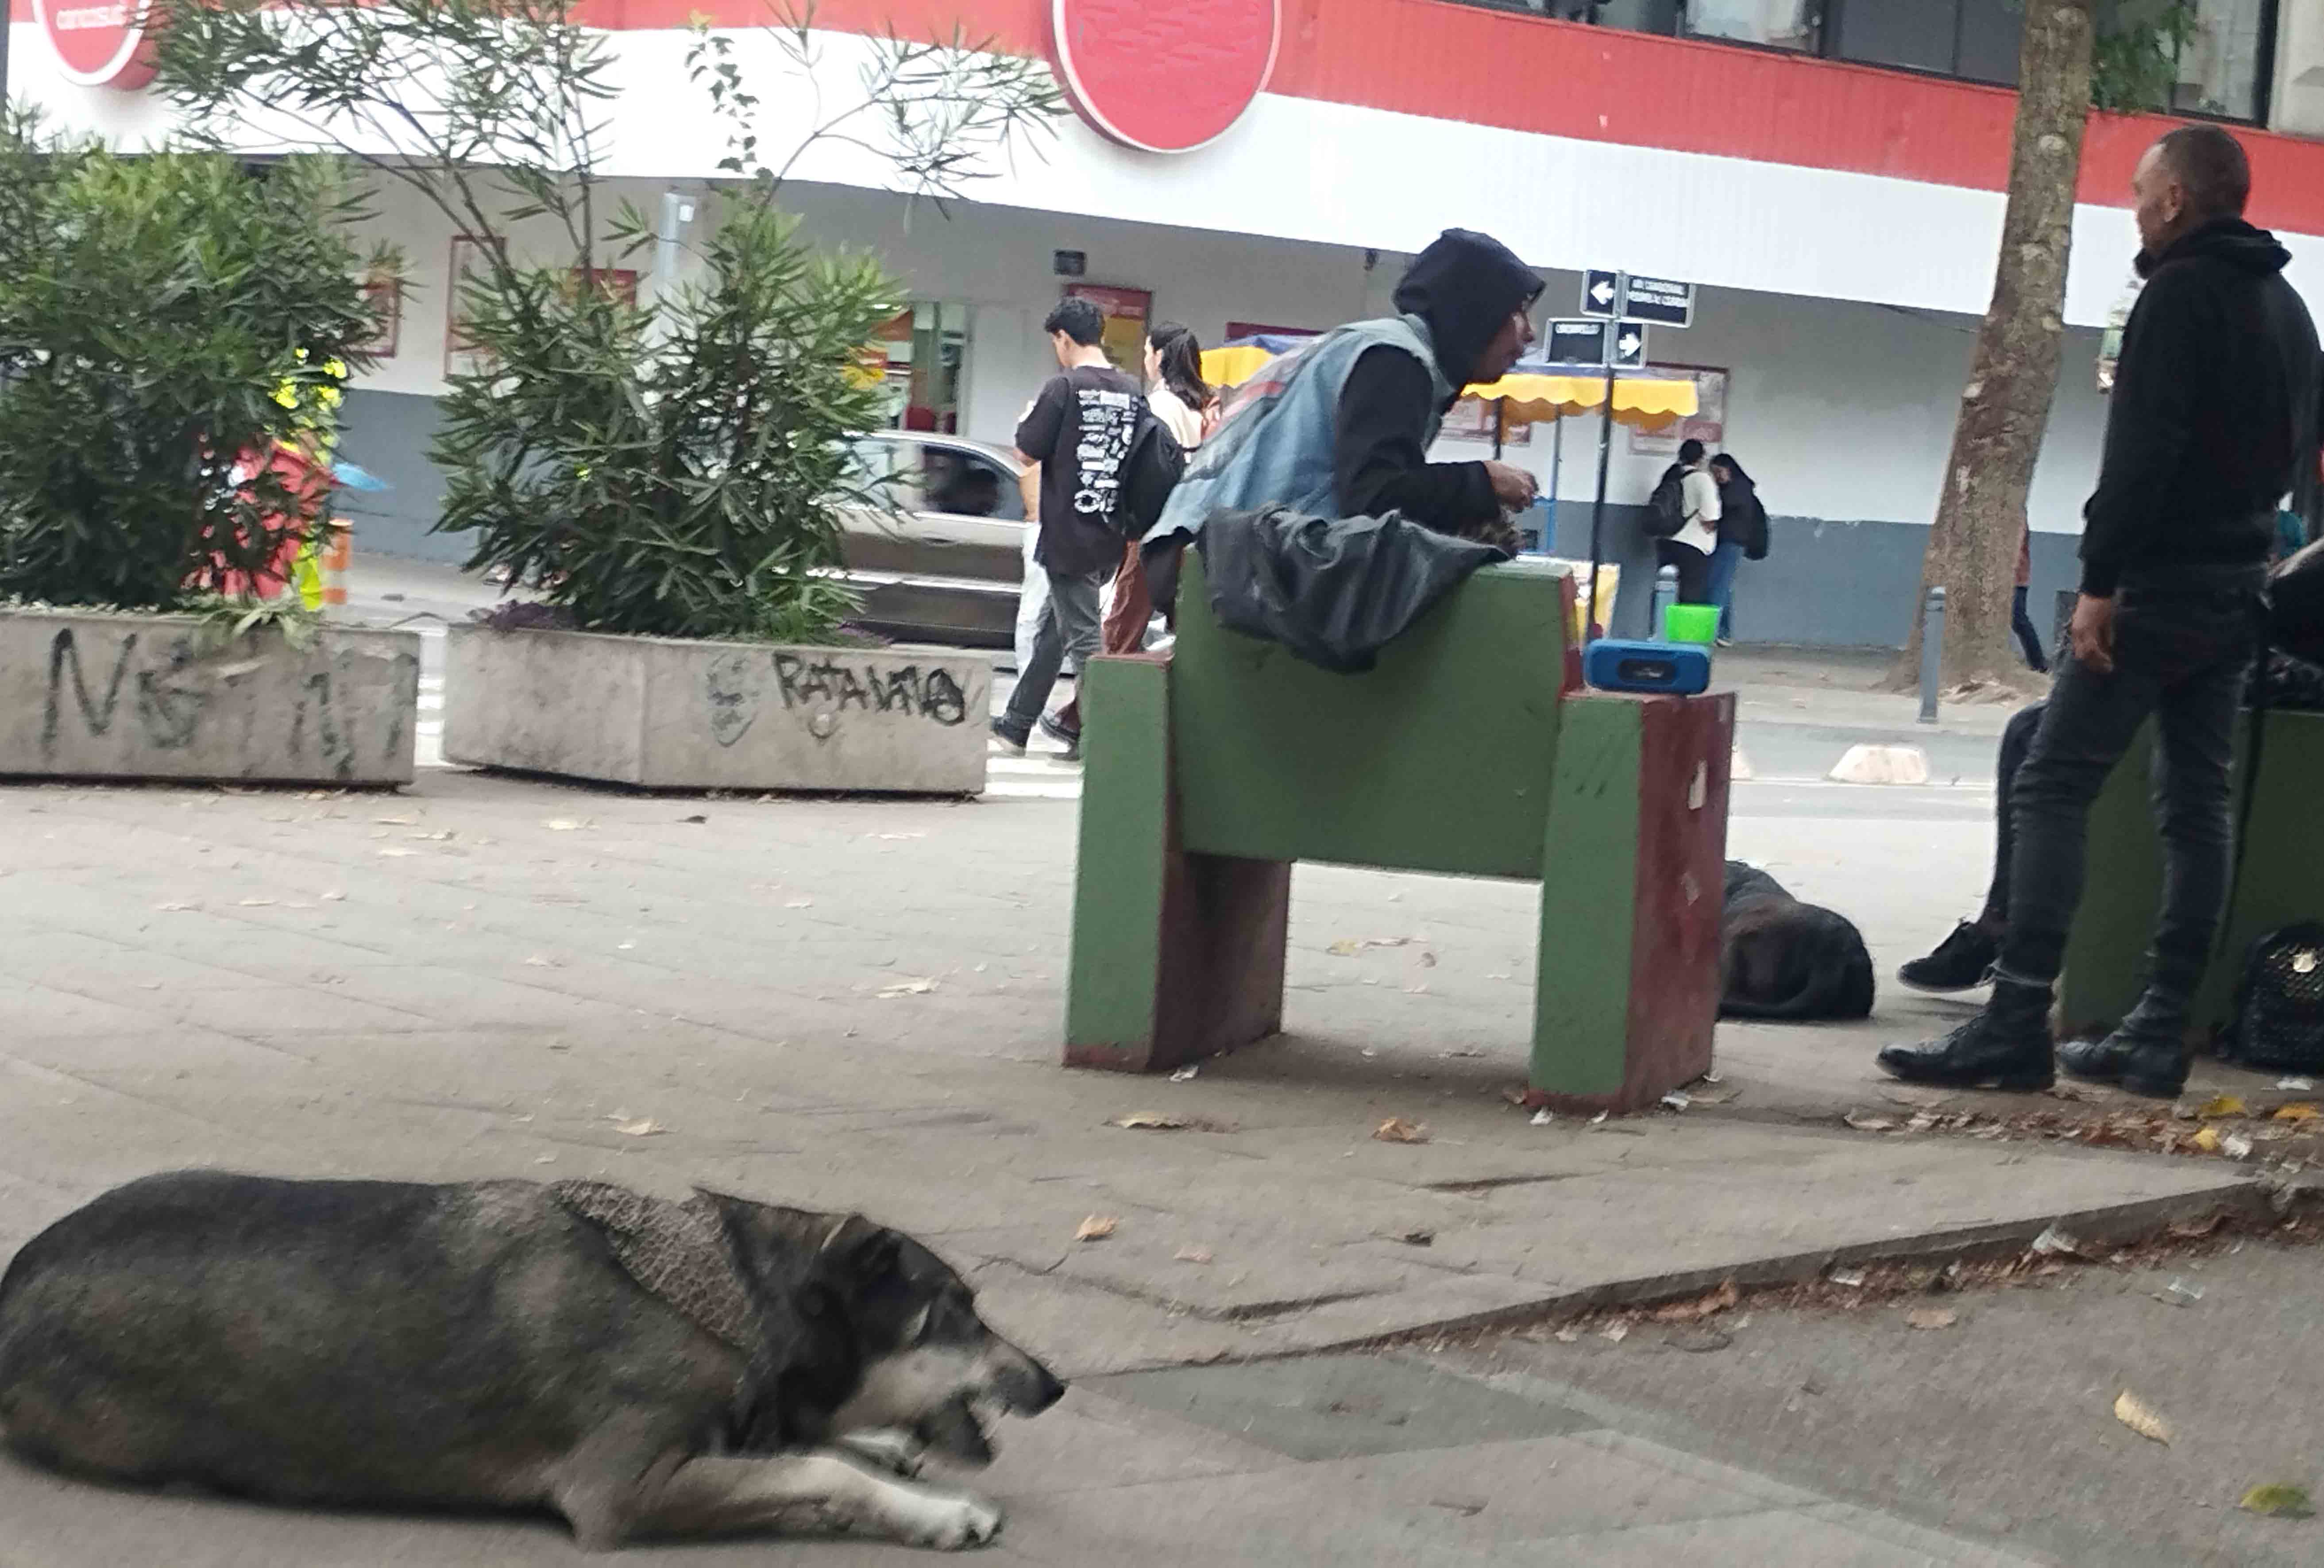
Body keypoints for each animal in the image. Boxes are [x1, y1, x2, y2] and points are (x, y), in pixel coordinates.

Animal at [0, 1171, 1064, 1552]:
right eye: (959, 1310)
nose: (1055, 1384)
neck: (727, 1298)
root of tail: (13, 1280)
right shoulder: (626, 1487)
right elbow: (818, 1467)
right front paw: (933, 1511)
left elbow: (819, 1446)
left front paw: (895, 1457)